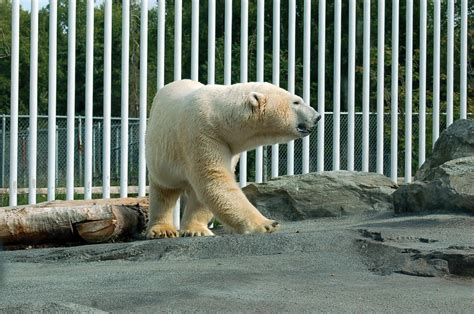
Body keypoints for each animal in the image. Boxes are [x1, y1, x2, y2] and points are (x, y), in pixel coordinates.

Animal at [146, 79, 320, 238]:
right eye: (296, 101)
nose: (317, 116)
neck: (218, 115)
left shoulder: (229, 147)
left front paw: (197, 230)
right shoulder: (201, 133)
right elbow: (215, 180)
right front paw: (268, 224)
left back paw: (195, 229)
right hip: (161, 156)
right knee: (163, 192)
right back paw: (162, 230)